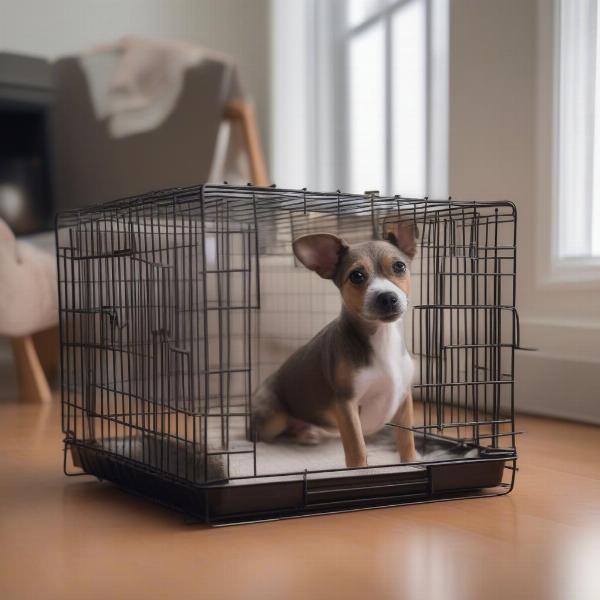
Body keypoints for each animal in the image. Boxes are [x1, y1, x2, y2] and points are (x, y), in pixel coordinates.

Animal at [253, 219, 418, 468]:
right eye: (356, 276)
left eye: (399, 266)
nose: (388, 297)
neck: (382, 338)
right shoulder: (346, 404)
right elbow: (356, 447)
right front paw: (359, 471)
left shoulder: (404, 398)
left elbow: (407, 439)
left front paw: (411, 462)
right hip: (274, 419)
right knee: (266, 436)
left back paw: (308, 433)